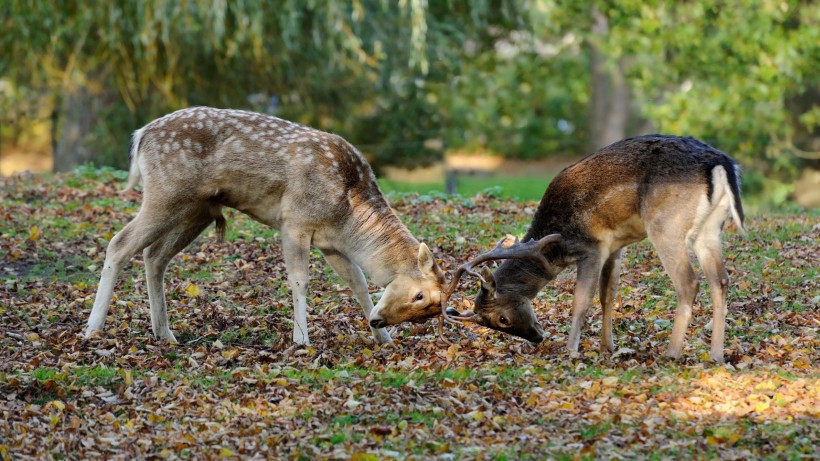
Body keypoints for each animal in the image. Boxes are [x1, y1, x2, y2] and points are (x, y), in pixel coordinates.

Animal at [84, 107, 446, 344]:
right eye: (419, 296)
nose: (378, 320)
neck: (349, 211)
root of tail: (140, 136)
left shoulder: (331, 243)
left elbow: (357, 281)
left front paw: (383, 339)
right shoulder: (295, 220)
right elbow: (300, 280)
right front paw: (301, 340)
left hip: (195, 210)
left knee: (154, 255)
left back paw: (165, 333)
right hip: (165, 193)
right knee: (119, 243)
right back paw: (93, 329)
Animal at [438, 134, 748, 362]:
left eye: (501, 319)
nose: (537, 337)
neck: (556, 244)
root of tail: (722, 164)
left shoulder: (592, 246)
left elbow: (581, 300)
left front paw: (570, 351)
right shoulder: (615, 246)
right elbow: (607, 295)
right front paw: (606, 346)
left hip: (666, 225)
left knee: (689, 283)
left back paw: (671, 354)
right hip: (710, 229)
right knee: (721, 280)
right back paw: (716, 356)